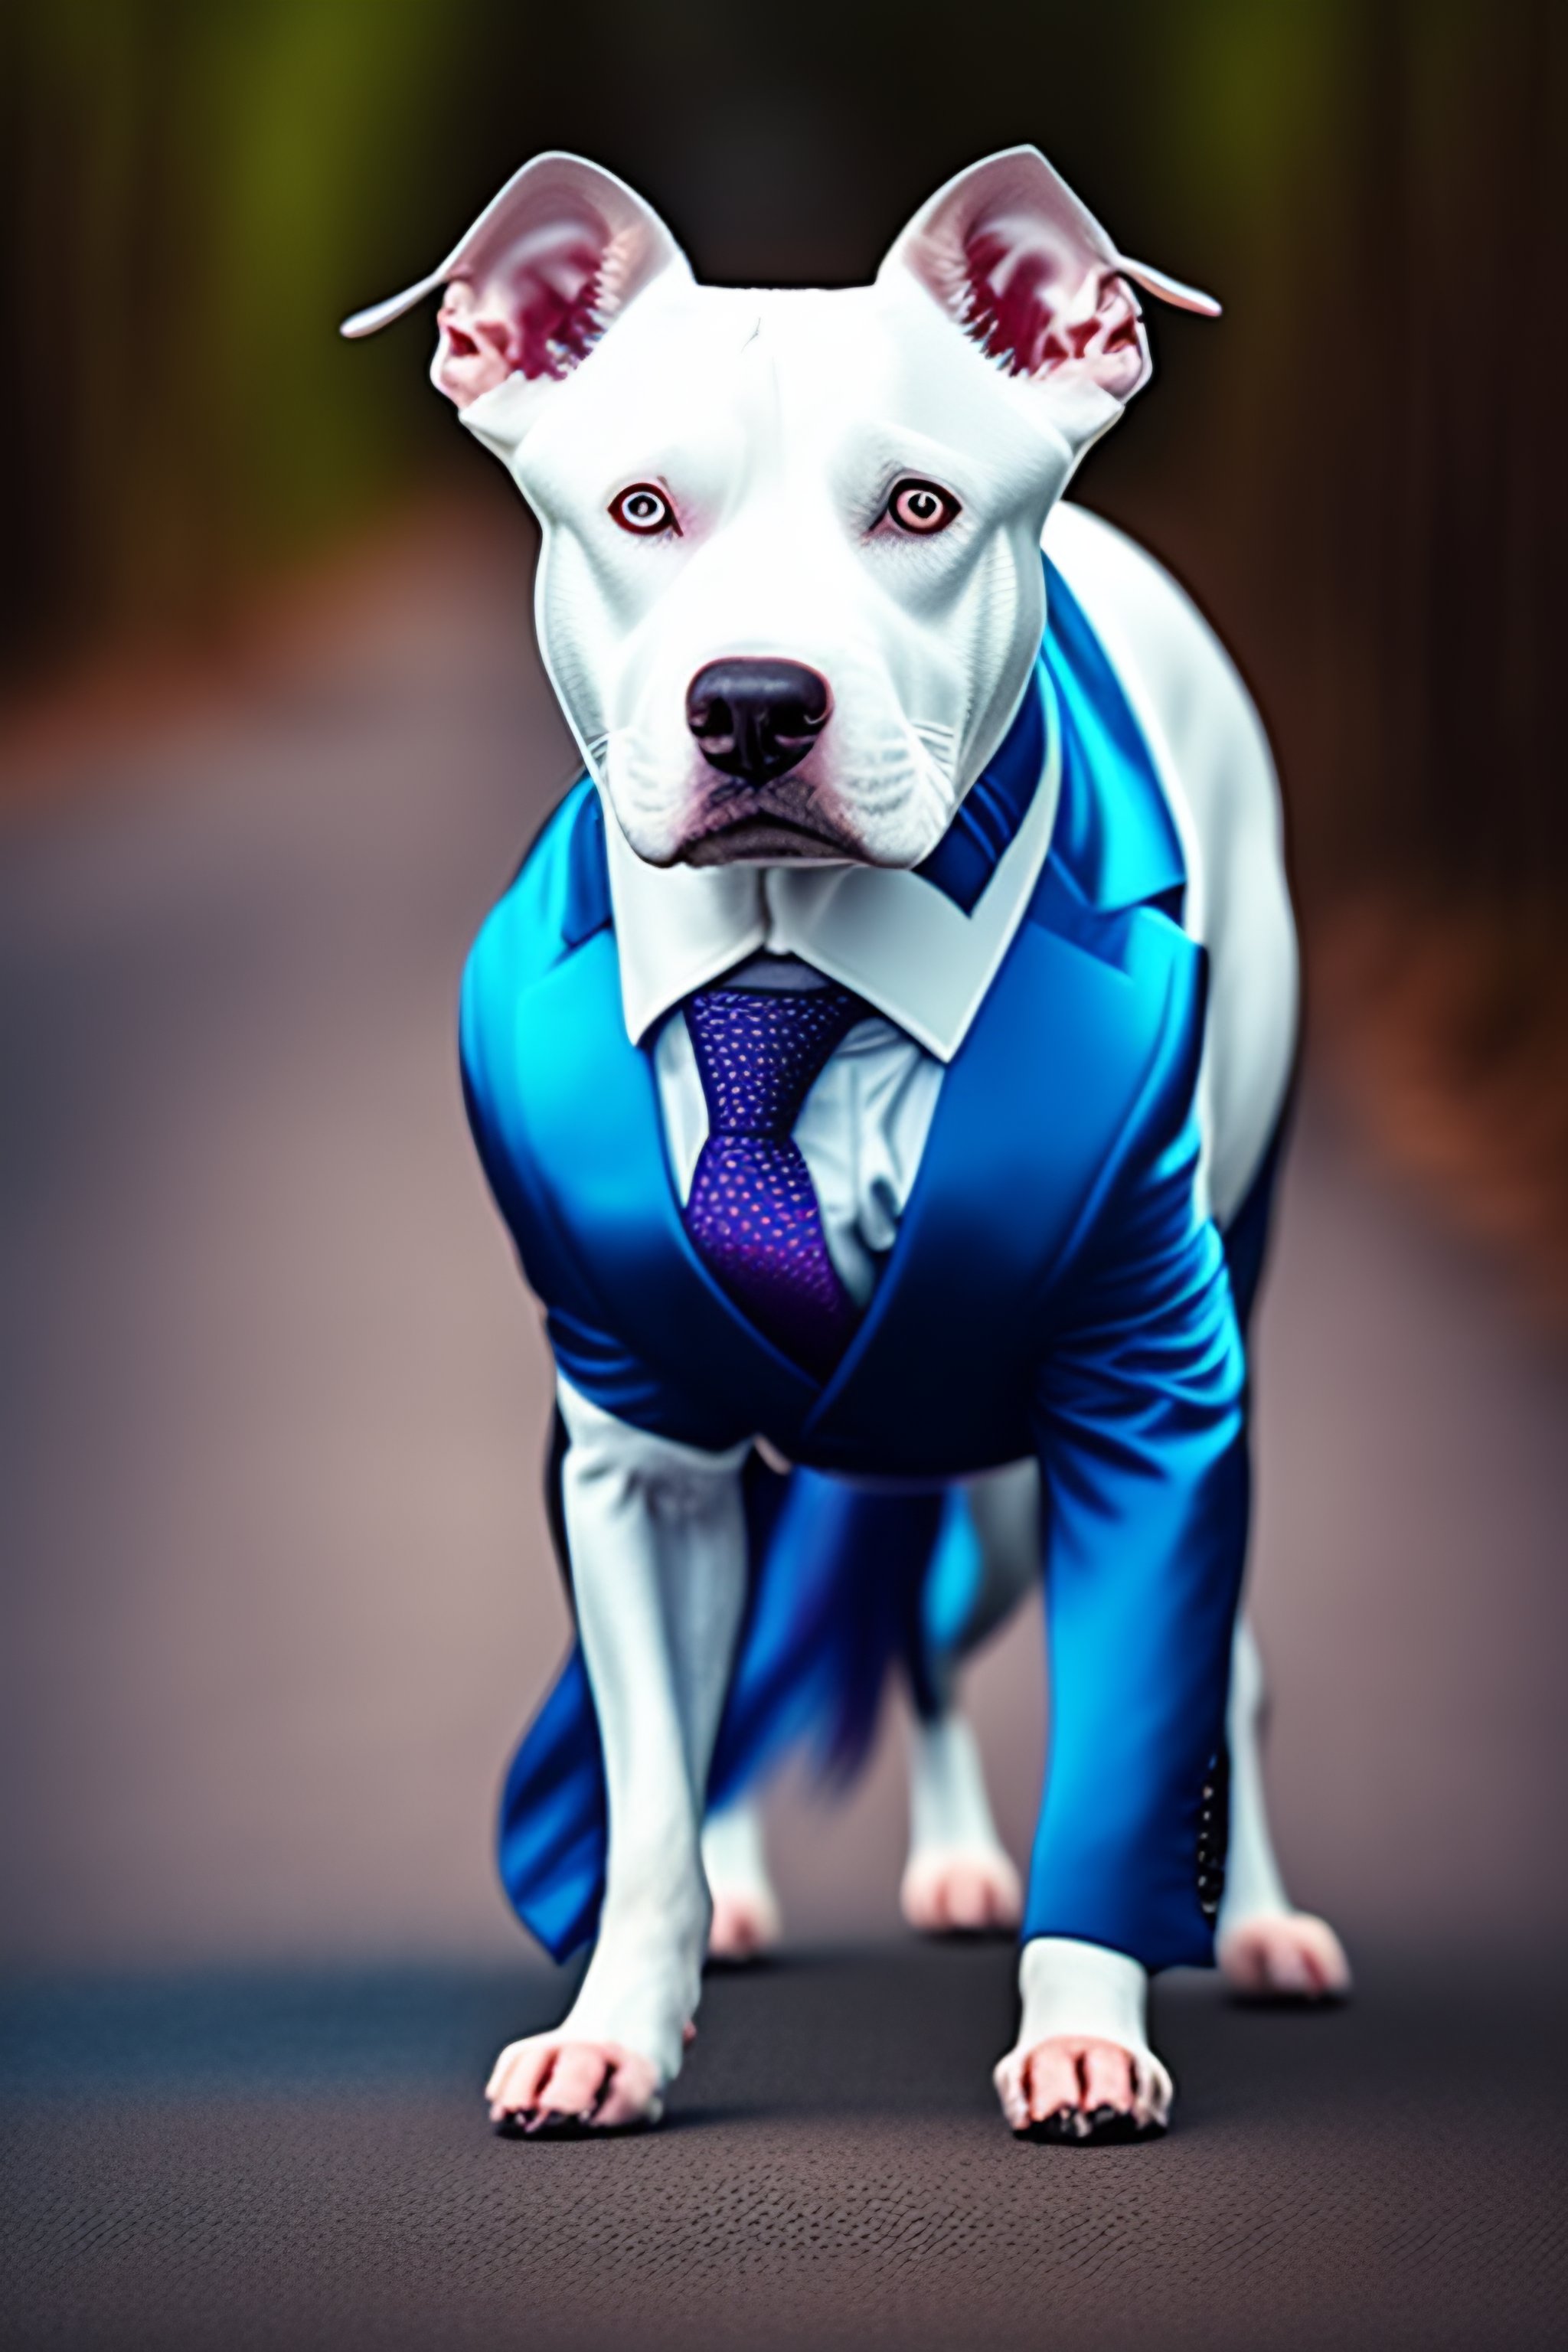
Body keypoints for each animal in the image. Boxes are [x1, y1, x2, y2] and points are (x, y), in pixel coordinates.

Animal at [350, 137, 1354, 2145]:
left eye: (918, 505)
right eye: (638, 508)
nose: (753, 701)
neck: (787, 967)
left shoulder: (1147, 1388)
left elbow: (1139, 1720)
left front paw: (1085, 2021)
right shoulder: (631, 1444)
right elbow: (653, 1779)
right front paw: (619, 2019)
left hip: (1153, 1357)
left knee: (1203, 1660)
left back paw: (1249, 1919)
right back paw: (777, 1885)